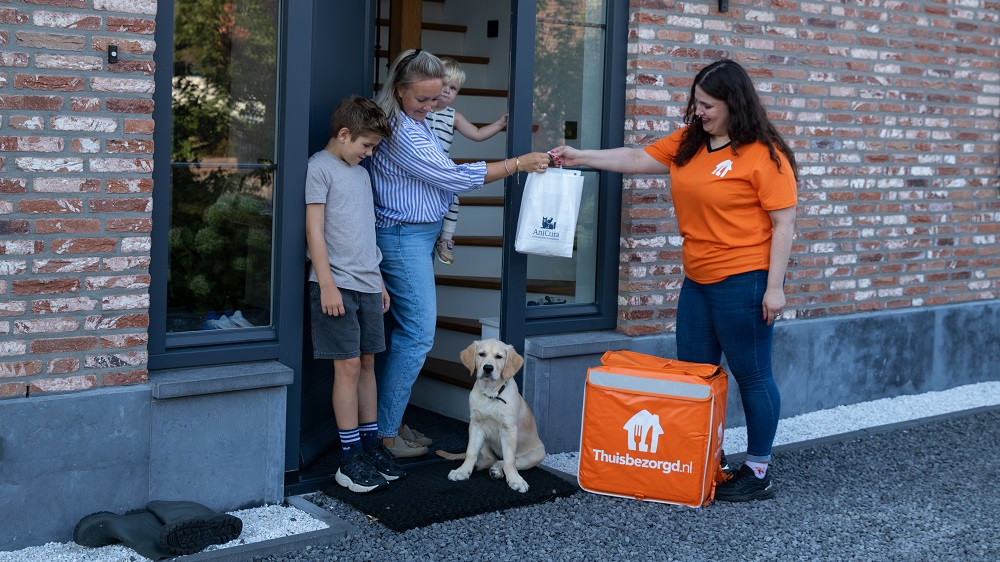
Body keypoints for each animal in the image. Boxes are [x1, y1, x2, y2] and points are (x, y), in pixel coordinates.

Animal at [438, 336, 548, 490]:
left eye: (499, 357)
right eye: (481, 354)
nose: (488, 368)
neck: (491, 394)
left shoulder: (509, 429)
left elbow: (509, 460)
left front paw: (515, 480)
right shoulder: (476, 425)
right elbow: (470, 452)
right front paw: (463, 471)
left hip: (536, 455)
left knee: (507, 461)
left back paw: (497, 470)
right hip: (485, 441)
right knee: (490, 459)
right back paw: (480, 465)